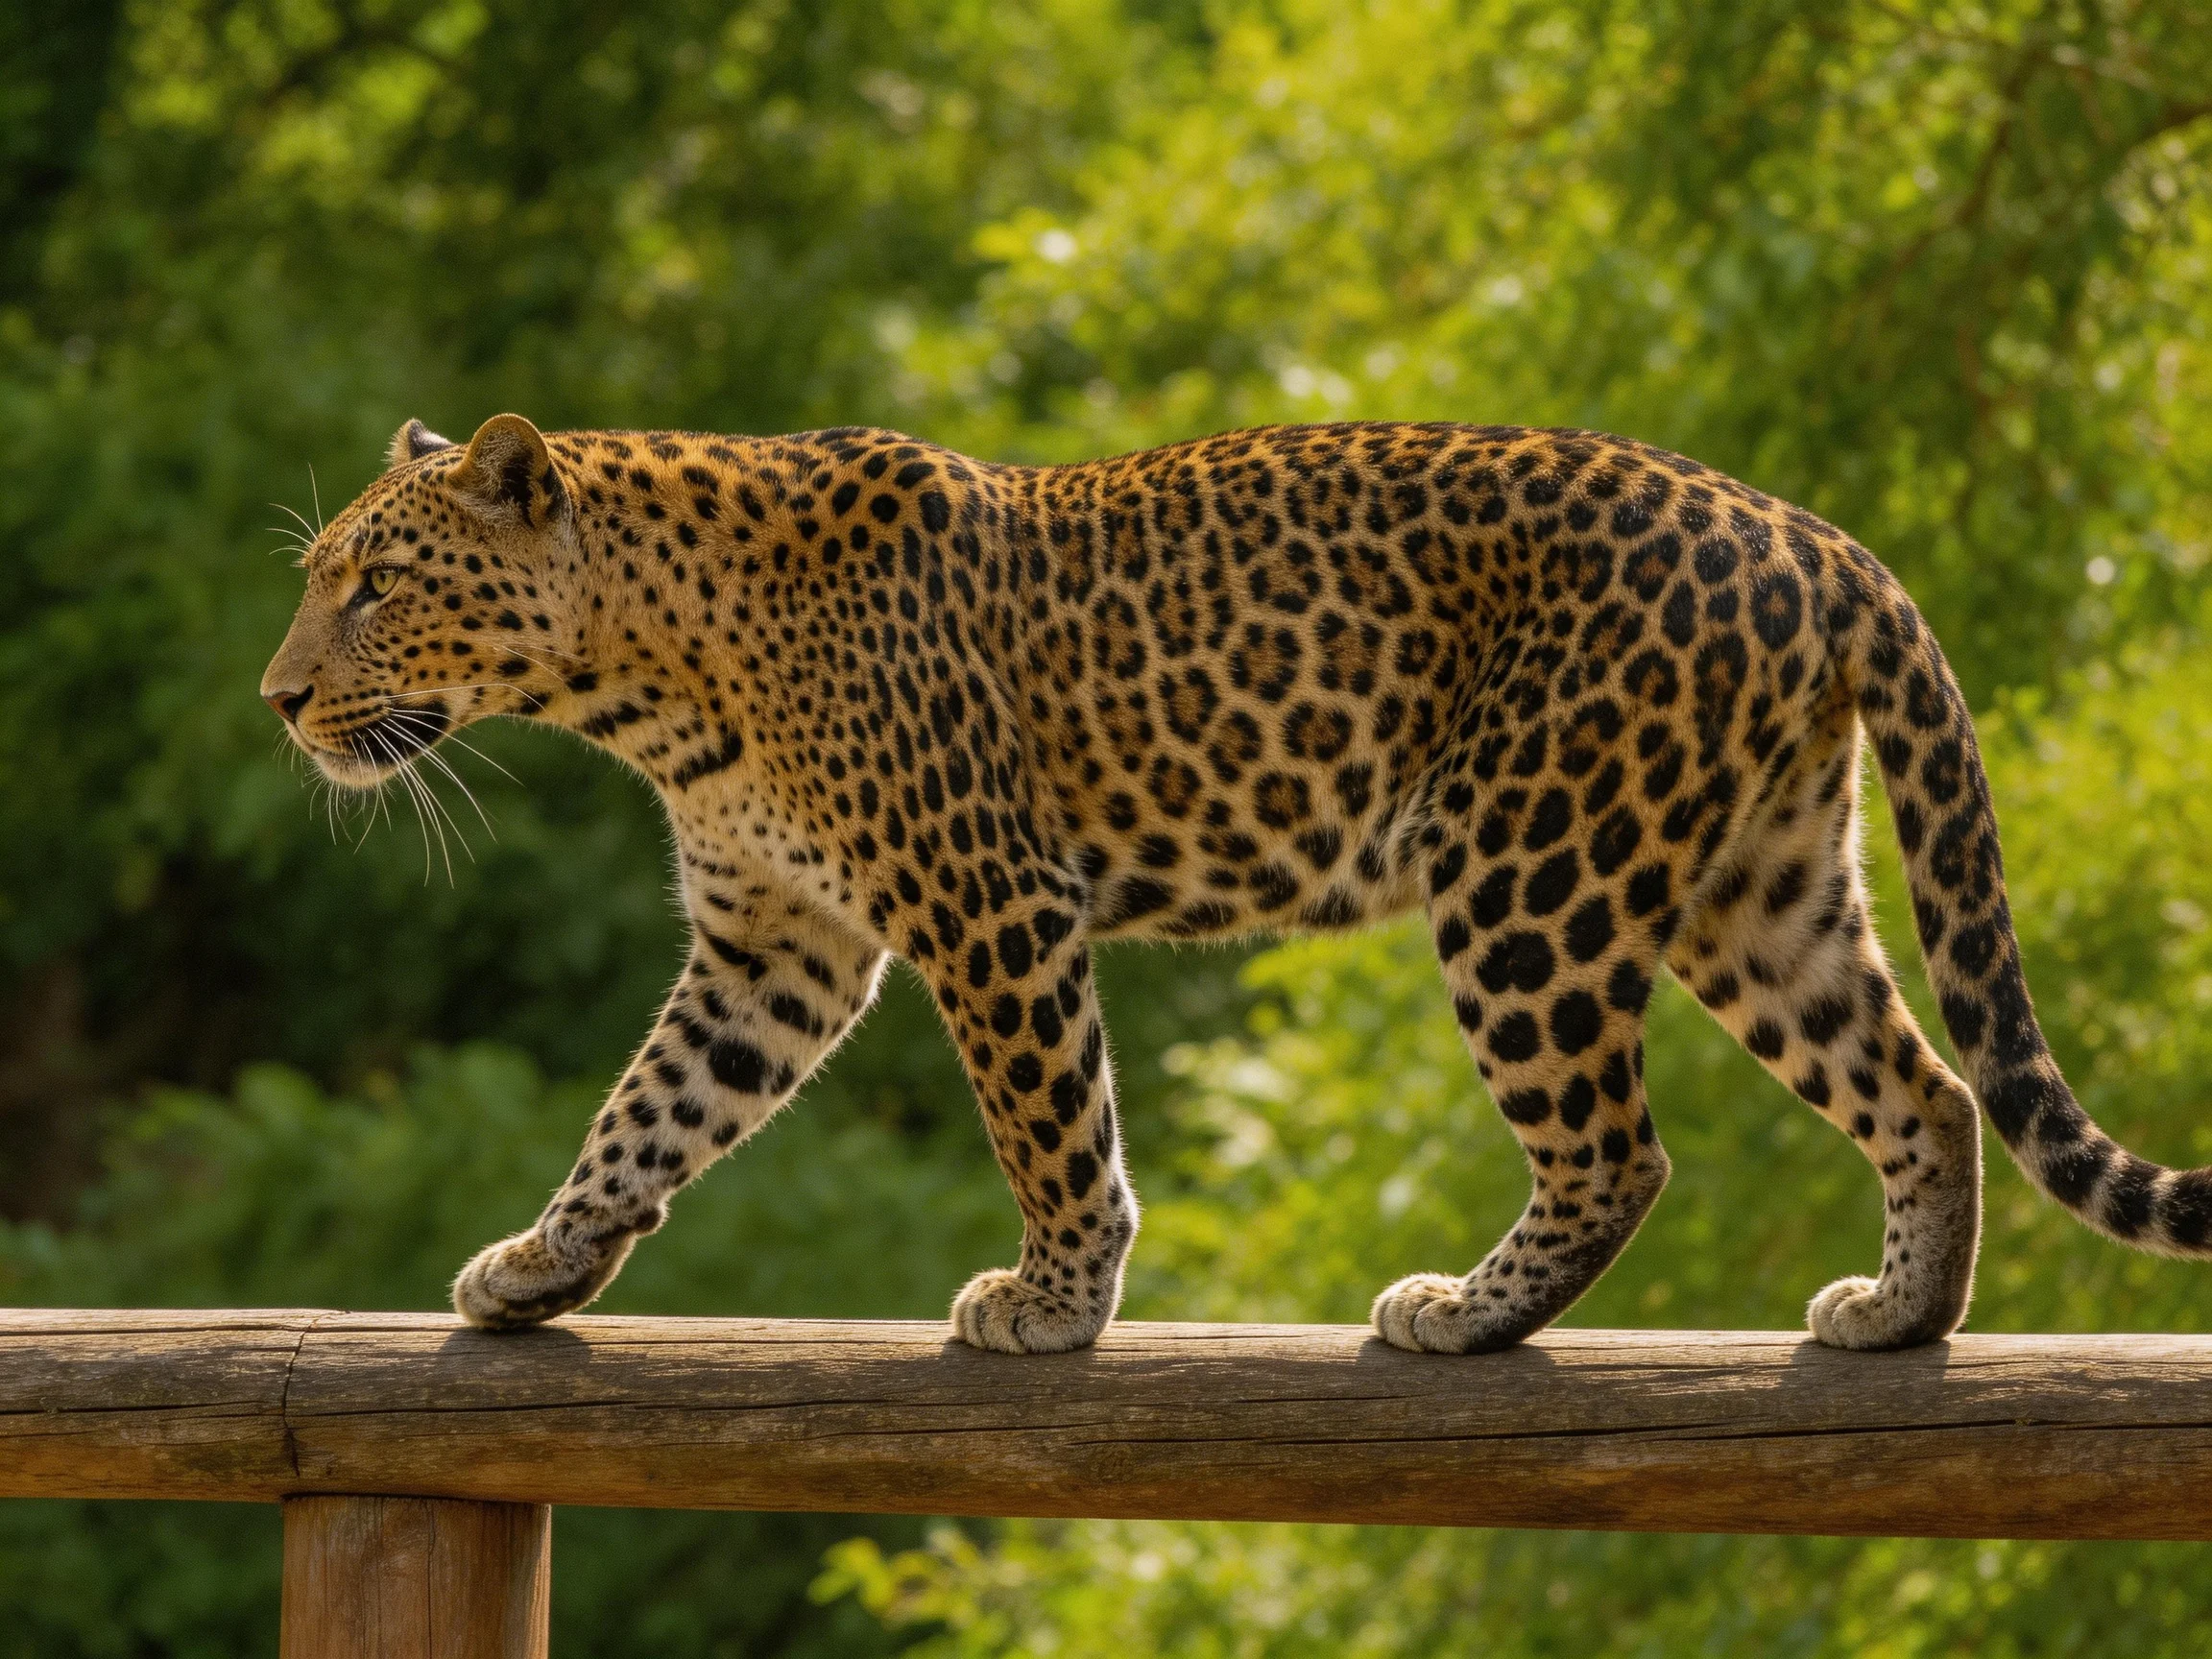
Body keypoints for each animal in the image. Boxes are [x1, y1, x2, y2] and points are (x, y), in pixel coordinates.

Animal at [261, 411, 2212, 1356]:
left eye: (374, 585)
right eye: (320, 578)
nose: (277, 697)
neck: (647, 676)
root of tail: (1819, 538)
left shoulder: (986, 902)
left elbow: (1050, 1117)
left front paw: (1055, 1302)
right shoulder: (773, 944)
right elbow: (650, 1109)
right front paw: (542, 1264)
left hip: (1526, 871)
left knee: (1616, 1146)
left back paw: (1461, 1316)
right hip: (1757, 882)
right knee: (1927, 1087)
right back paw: (1899, 1318)